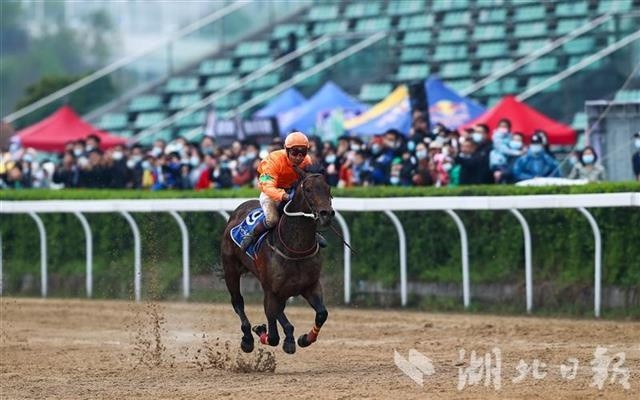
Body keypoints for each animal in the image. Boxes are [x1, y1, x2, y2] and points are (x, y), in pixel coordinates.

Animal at [221, 164, 336, 354]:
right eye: (309, 189)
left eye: (328, 188)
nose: (326, 214)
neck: (295, 249)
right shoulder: (271, 289)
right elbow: (273, 336)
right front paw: (260, 330)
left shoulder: (310, 285)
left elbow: (322, 314)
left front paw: (305, 339)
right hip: (231, 269)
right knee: (238, 301)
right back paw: (248, 338)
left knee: (279, 309)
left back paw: (289, 337)